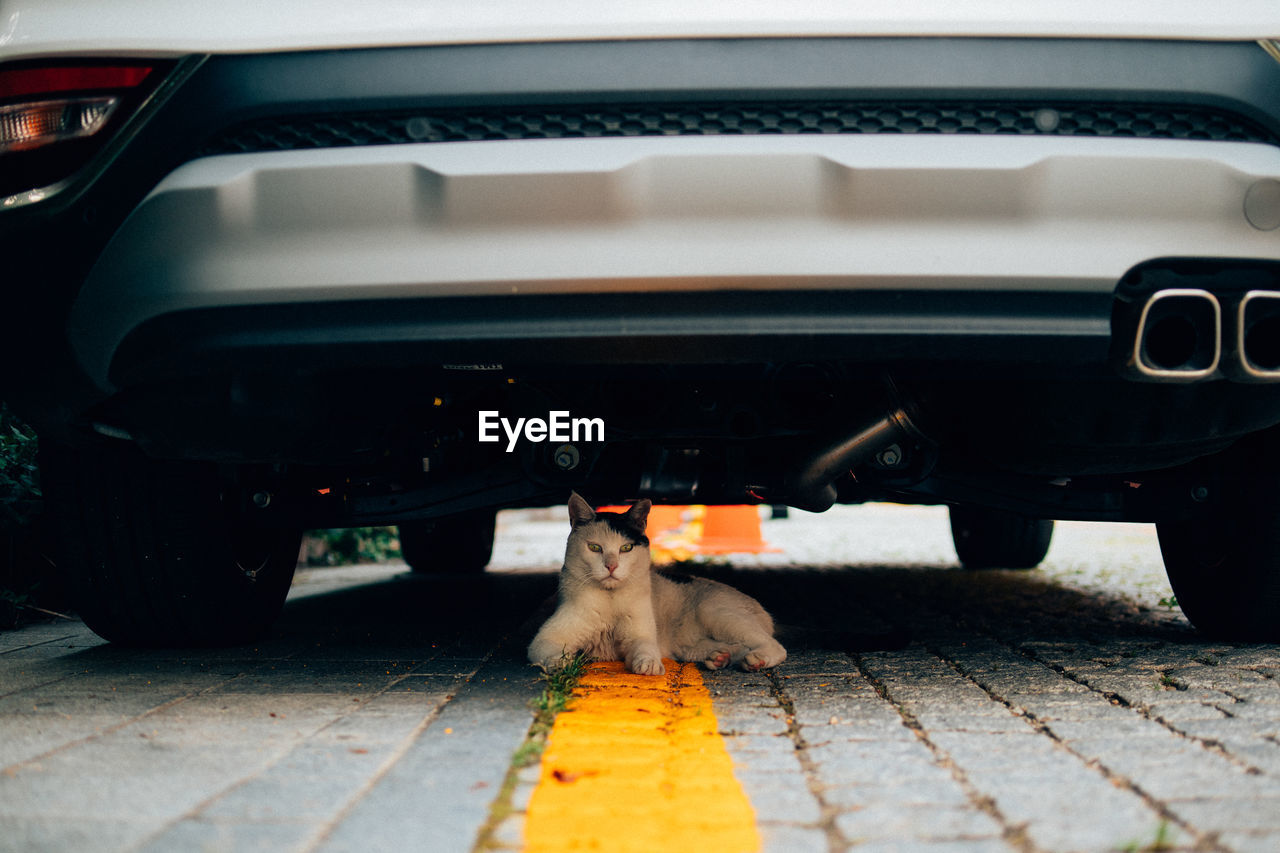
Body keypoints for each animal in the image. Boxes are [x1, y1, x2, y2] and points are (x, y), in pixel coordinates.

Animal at [524, 491, 783, 671]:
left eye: (626, 548)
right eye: (595, 548)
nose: (611, 566)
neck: (610, 600)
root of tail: (762, 610)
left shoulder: (641, 636)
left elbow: (645, 649)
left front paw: (648, 665)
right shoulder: (545, 639)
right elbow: (548, 652)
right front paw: (561, 663)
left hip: (716, 612)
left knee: (774, 646)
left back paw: (756, 660)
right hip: (688, 645)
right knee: (735, 648)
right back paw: (720, 658)